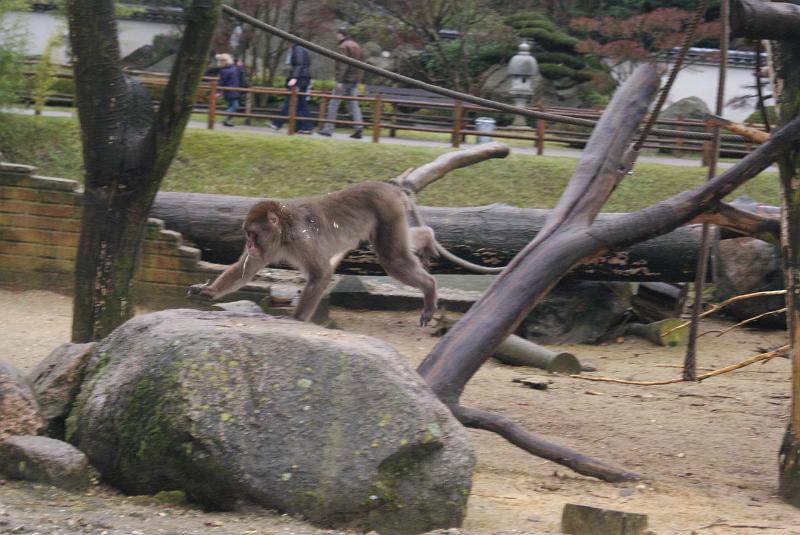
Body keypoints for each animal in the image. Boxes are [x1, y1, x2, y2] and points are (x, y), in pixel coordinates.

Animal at [187, 181, 438, 326]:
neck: (285, 231)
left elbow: (321, 273)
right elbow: (245, 269)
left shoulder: (302, 241)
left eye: (252, 234)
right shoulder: (269, 246)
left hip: (388, 209)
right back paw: (427, 237)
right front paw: (208, 291)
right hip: (392, 213)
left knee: (391, 258)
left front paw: (297, 319)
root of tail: (390, 188)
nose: (248, 245)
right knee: (396, 249)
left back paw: (429, 286)